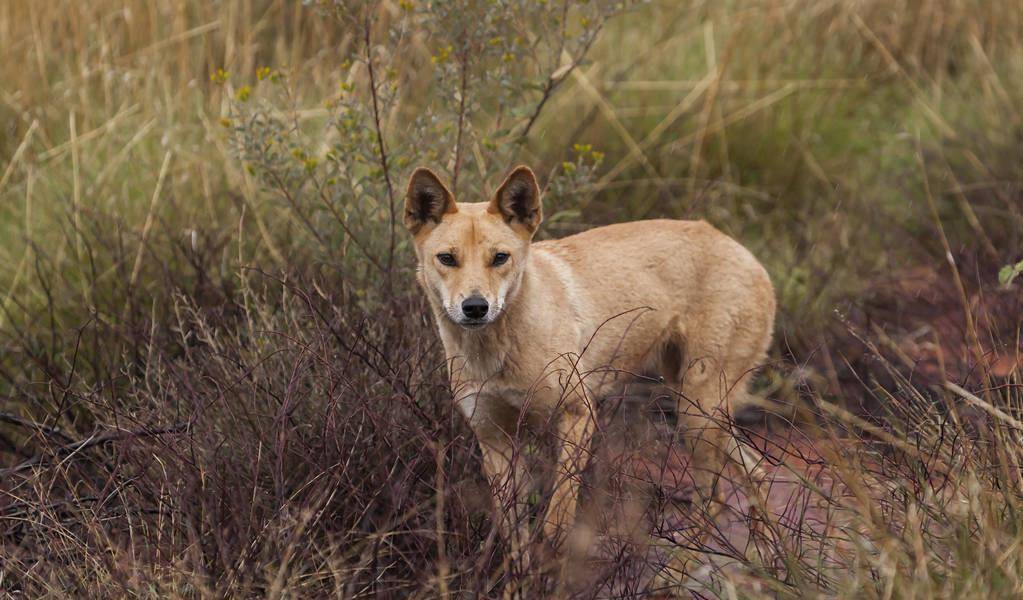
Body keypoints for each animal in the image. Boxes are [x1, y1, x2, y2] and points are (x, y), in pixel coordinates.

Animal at [403, 164, 769, 543]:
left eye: (500, 257)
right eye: (447, 258)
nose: (476, 307)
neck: (497, 351)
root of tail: (740, 249)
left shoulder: (578, 414)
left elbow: (556, 520)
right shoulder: (494, 438)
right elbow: (513, 532)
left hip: (698, 410)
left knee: (718, 493)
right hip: (693, 406)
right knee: (754, 473)